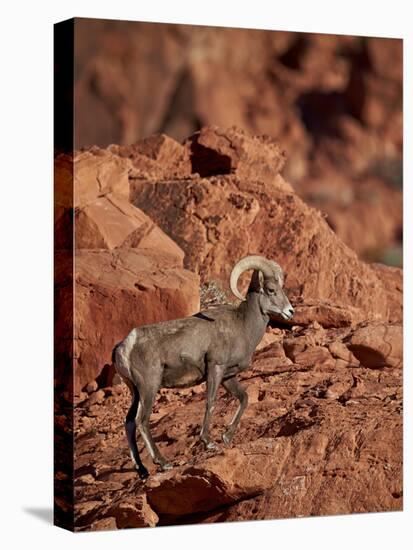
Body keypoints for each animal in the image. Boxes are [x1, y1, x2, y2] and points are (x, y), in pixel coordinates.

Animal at [112, 256, 292, 480]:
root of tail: (124, 346)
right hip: (149, 387)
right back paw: (163, 463)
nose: (290, 311)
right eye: (270, 289)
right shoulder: (215, 367)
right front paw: (208, 442)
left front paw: (226, 436)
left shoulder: (228, 376)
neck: (243, 326)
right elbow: (210, 401)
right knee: (141, 421)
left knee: (128, 422)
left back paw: (142, 470)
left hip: (135, 391)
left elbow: (244, 398)